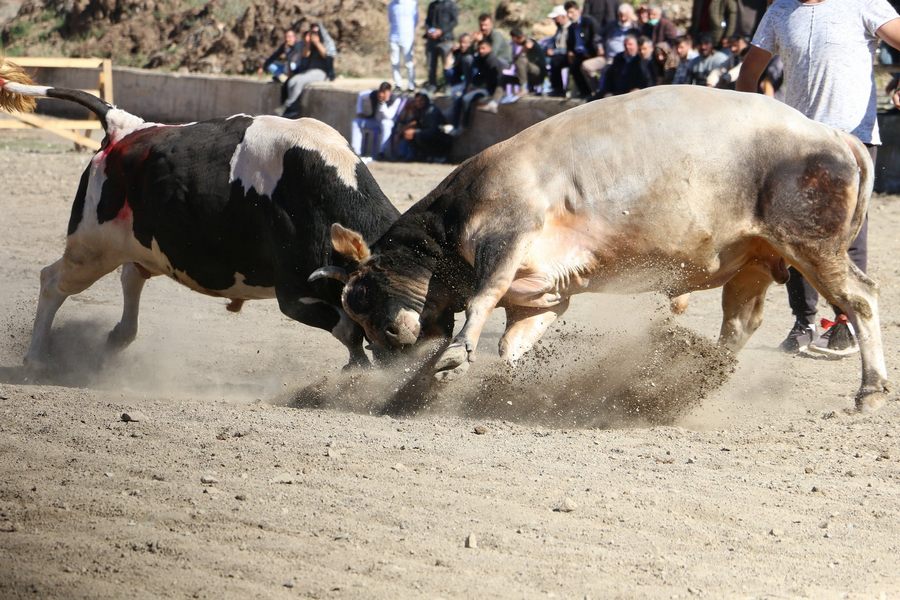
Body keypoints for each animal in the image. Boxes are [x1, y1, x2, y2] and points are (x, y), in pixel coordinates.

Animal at [0, 62, 398, 370]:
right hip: (91, 249)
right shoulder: (294, 295)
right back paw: (37, 359)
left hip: (135, 245)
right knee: (53, 281)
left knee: (131, 275)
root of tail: (125, 127)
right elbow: (348, 328)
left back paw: (118, 337)